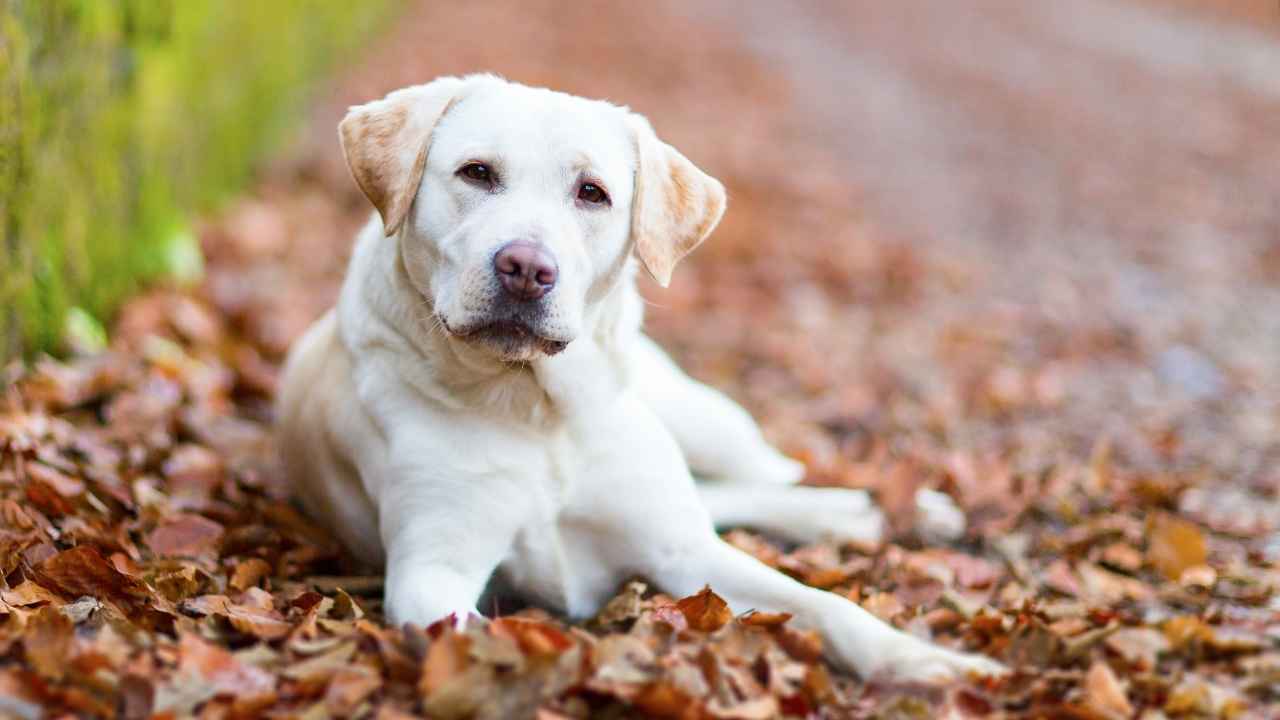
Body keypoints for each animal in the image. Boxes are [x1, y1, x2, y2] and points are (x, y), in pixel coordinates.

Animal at [280, 75, 1008, 681]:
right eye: (476, 173)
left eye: (592, 193)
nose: (526, 268)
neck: (536, 408)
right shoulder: (432, 573)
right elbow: (491, 637)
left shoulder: (686, 554)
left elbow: (825, 605)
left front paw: (927, 663)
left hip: (702, 419)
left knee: (769, 473)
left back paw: (889, 507)